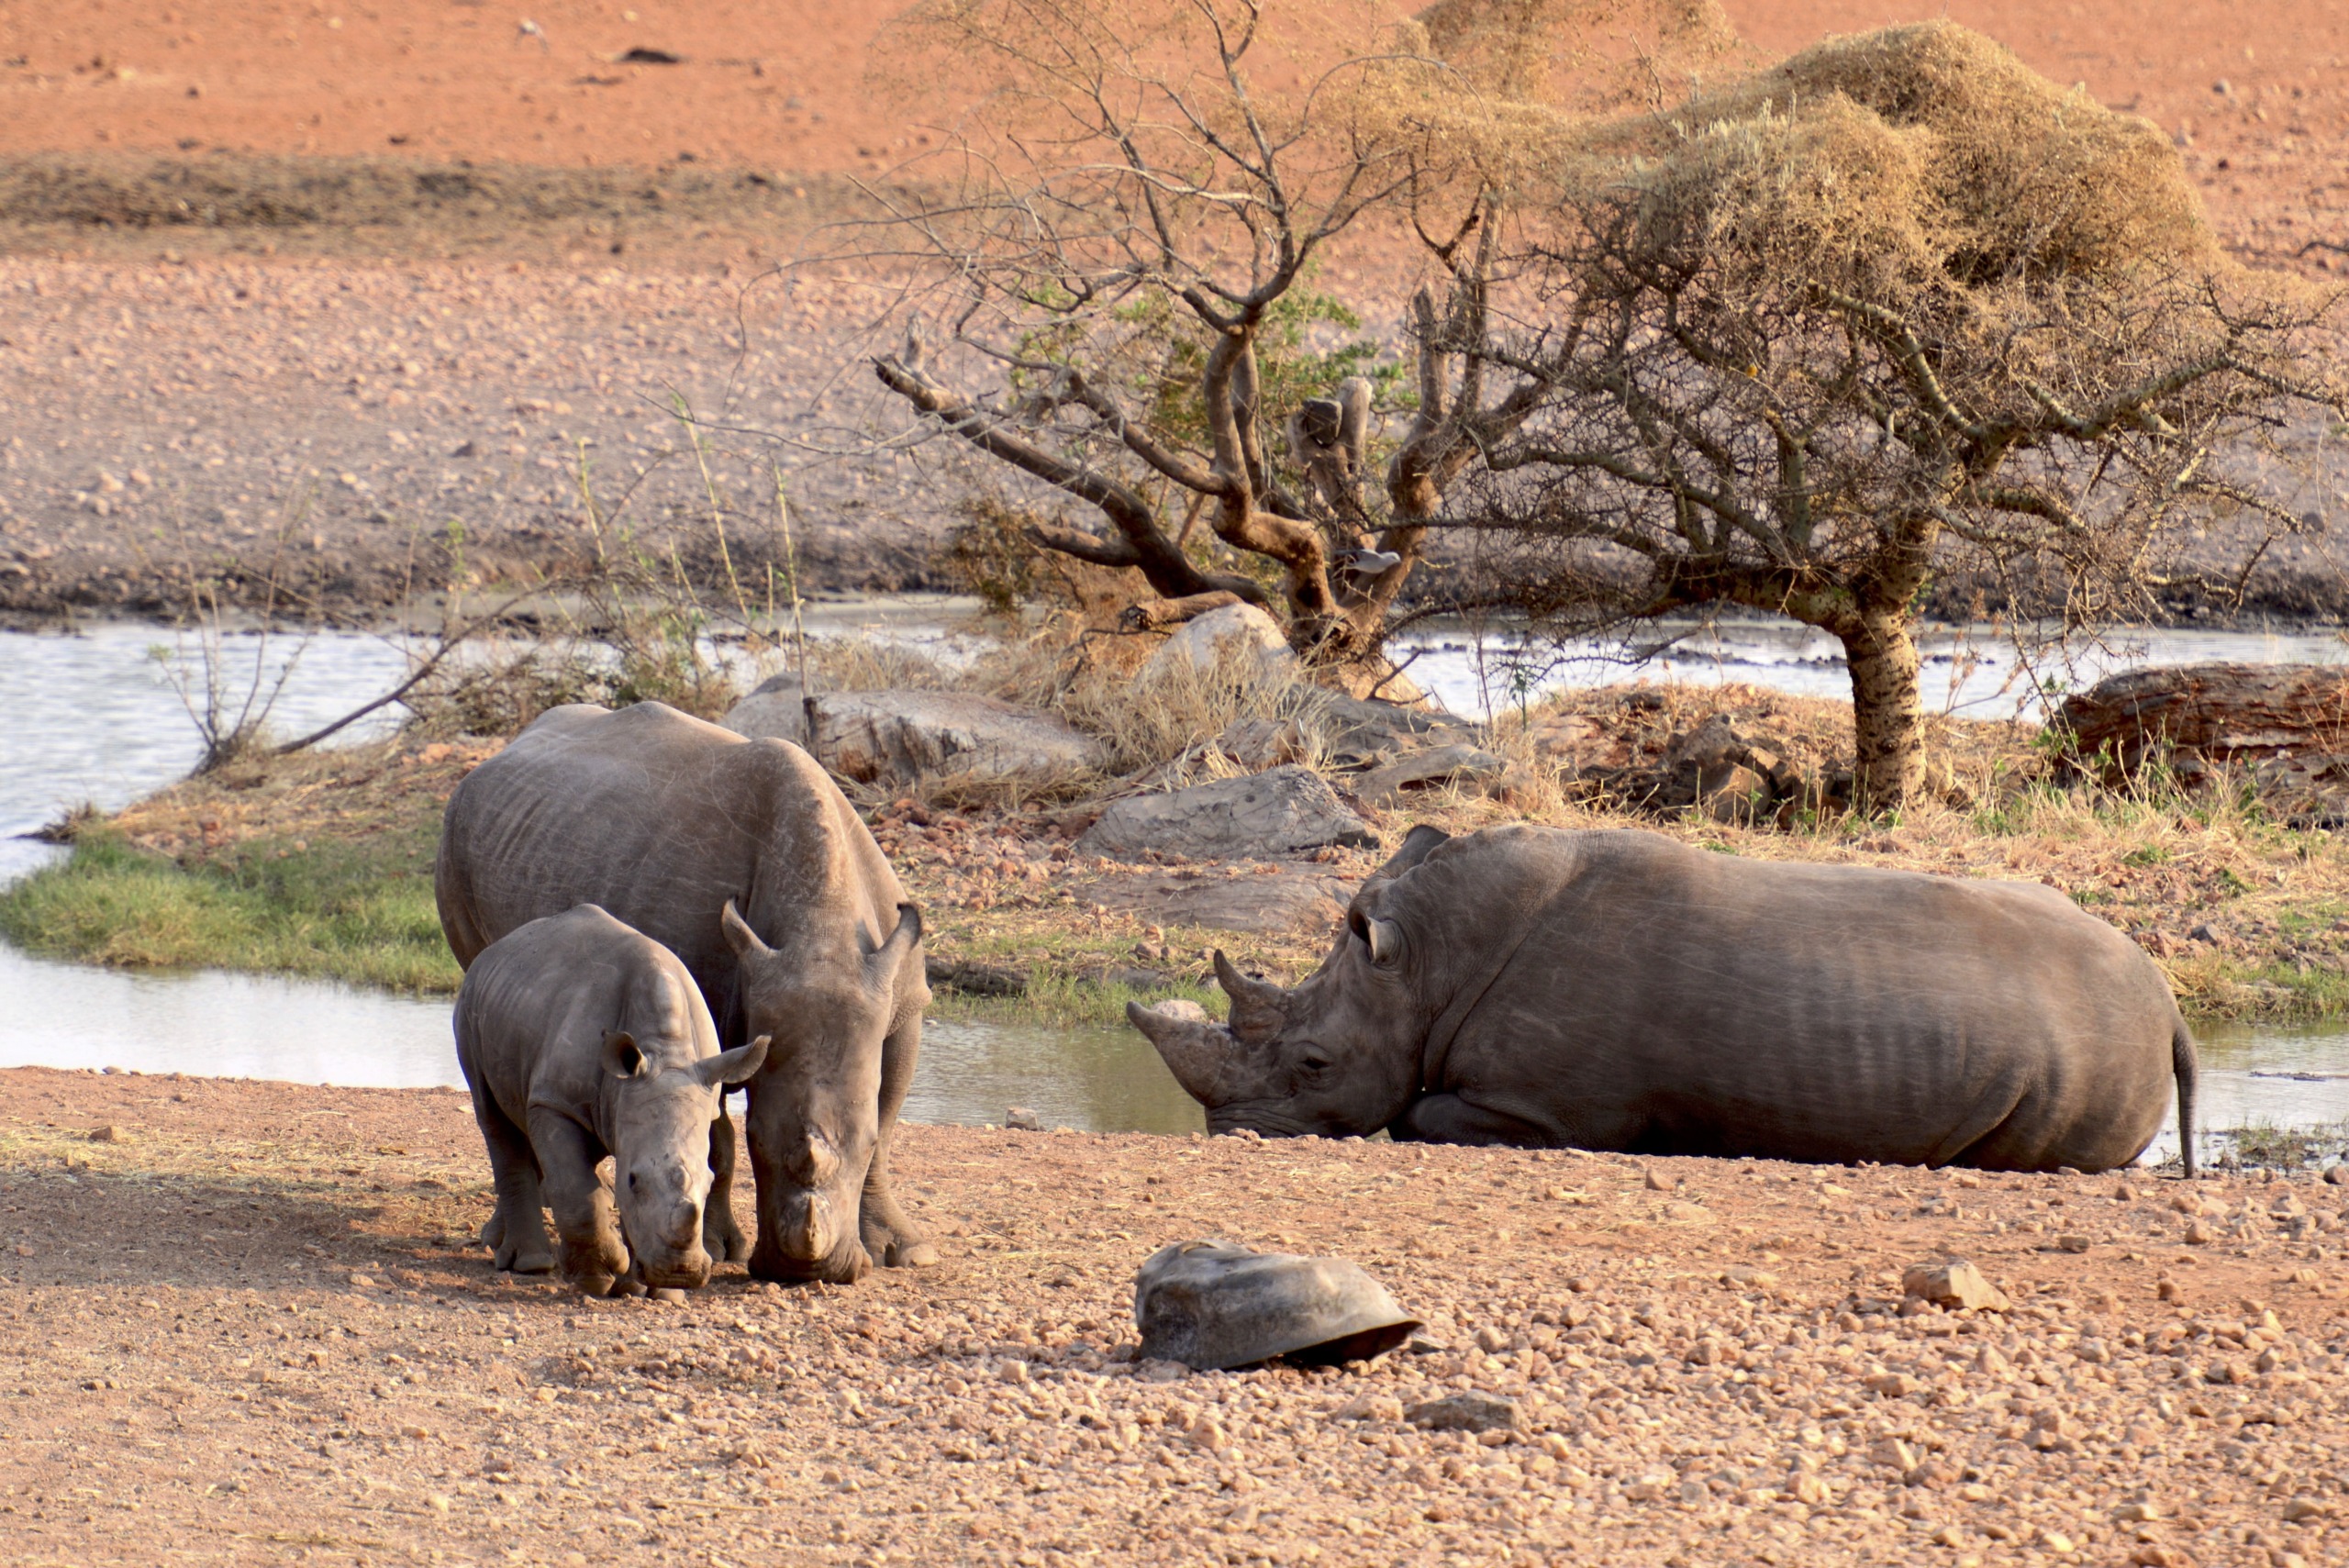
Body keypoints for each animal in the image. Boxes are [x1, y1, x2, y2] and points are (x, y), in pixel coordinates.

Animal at [462, 901, 774, 1296]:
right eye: (633, 1180)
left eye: (707, 1182)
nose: (681, 1272)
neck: (666, 1052)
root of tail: (498, 947)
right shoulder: (557, 1103)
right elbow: (576, 1190)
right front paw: (598, 1278)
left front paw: (651, 1291)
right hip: (471, 1001)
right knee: (494, 1119)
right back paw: (531, 1264)